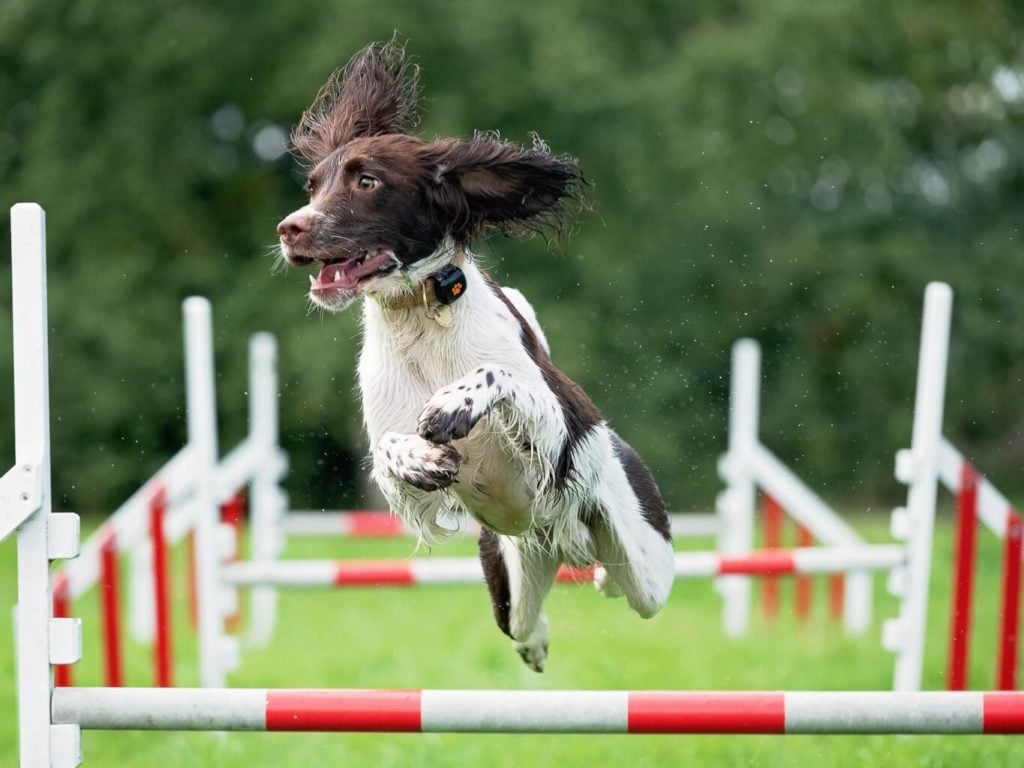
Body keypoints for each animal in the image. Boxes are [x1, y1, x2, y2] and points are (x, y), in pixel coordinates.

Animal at [276, 40, 675, 671]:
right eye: (314, 185)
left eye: (367, 180)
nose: (289, 229)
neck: (421, 317)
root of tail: (565, 540)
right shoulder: (394, 466)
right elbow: (388, 451)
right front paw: (421, 458)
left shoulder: (557, 425)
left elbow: (501, 375)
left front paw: (452, 405)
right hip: (511, 570)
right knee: (523, 621)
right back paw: (537, 640)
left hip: (645, 564)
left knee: (630, 586)